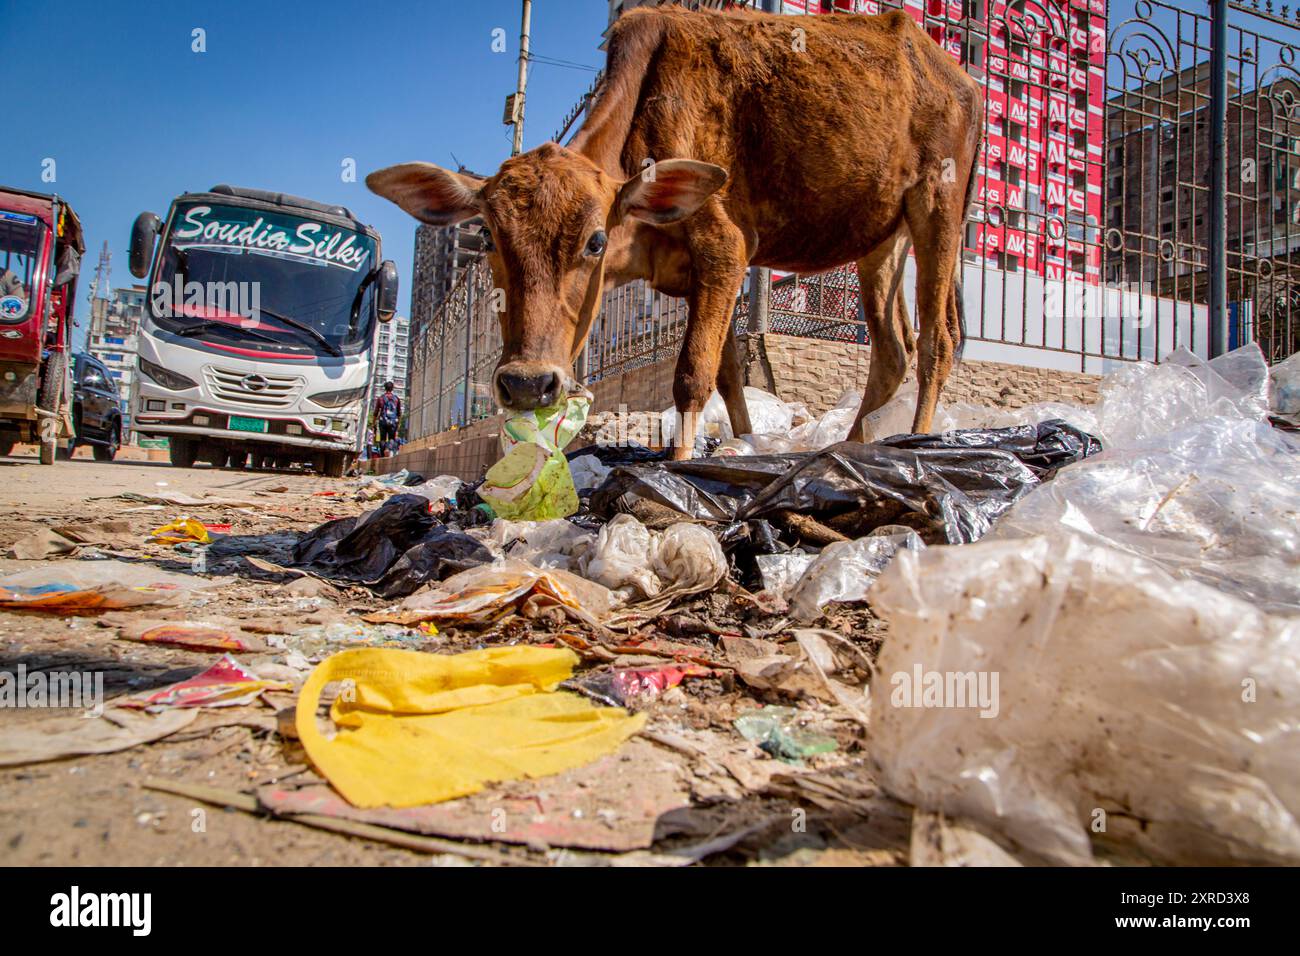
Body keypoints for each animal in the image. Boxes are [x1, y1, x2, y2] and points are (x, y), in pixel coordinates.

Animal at [367, 5, 983, 459]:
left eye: (594, 241)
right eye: (492, 239)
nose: (526, 383)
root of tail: (956, 72)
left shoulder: (725, 248)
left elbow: (692, 374)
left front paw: (680, 465)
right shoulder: (696, 275)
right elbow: (728, 372)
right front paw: (745, 444)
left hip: (938, 203)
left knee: (937, 339)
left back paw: (917, 437)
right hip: (881, 239)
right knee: (893, 350)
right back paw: (849, 446)